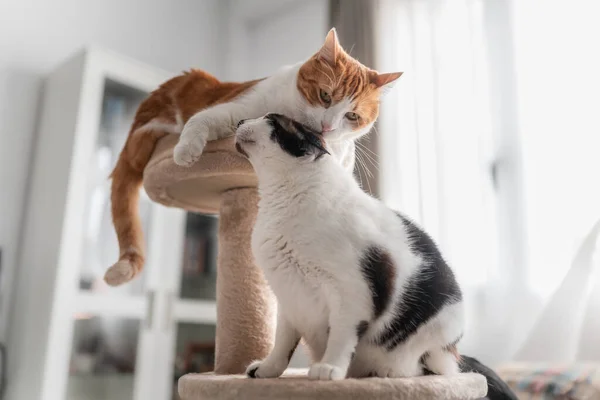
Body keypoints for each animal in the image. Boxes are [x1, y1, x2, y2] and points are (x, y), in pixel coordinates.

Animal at [103, 28, 404, 286]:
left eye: (352, 116)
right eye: (325, 96)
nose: (328, 126)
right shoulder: (236, 108)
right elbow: (202, 119)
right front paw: (186, 151)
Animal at [237, 113, 516, 400]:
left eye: (271, 120)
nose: (241, 120)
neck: (280, 204)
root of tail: (454, 357)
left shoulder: (351, 293)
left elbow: (340, 336)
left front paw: (329, 369)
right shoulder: (289, 297)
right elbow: (282, 342)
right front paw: (268, 370)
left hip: (435, 332)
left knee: (423, 369)